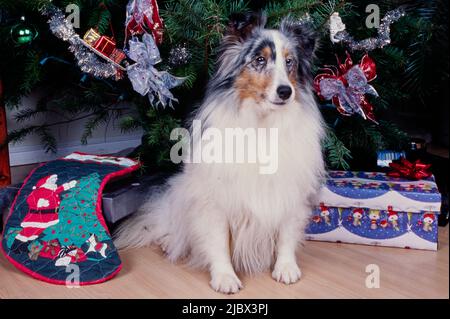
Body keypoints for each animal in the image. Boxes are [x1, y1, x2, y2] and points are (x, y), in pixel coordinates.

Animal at [115, 13, 326, 296]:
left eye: (289, 61)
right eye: (259, 60)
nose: (285, 92)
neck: (262, 123)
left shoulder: (290, 190)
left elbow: (286, 233)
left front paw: (286, 268)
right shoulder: (214, 198)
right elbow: (218, 241)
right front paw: (225, 277)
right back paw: (170, 242)